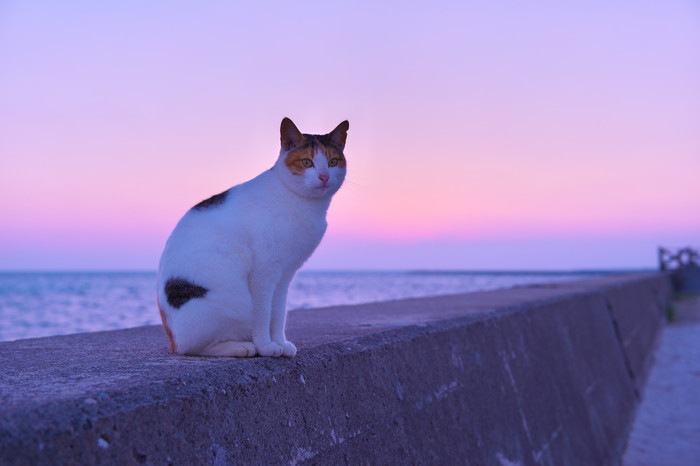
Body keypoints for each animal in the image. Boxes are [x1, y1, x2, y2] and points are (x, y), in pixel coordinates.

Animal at [156, 117, 348, 356]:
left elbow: (278, 313)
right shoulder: (263, 272)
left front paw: (280, 343)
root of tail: (171, 337)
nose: (324, 177)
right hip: (230, 303)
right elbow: (263, 313)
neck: (303, 203)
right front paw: (266, 346)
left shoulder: (285, 274)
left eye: (332, 162)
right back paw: (241, 347)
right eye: (306, 162)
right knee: (196, 347)